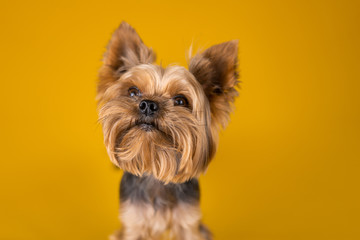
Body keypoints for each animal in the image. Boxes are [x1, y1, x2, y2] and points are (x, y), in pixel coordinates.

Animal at [97, 21, 240, 239]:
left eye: (181, 101)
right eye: (133, 92)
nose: (148, 104)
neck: (155, 165)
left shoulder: (190, 224)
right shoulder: (132, 225)